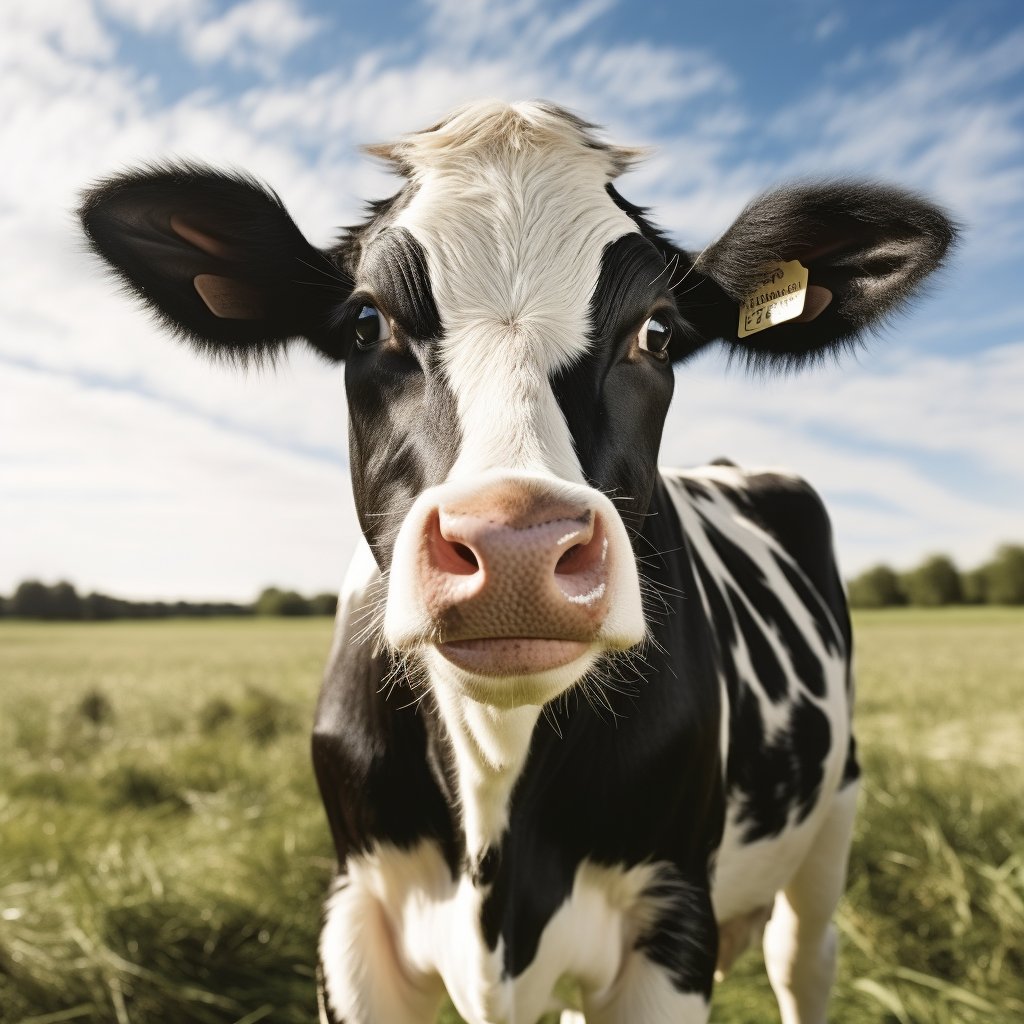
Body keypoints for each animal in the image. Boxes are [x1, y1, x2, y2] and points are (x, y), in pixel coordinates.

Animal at [79, 100, 955, 1024]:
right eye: (365, 322)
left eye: (656, 332)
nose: (516, 549)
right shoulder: (353, 913)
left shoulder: (672, 921)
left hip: (833, 819)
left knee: (800, 959)